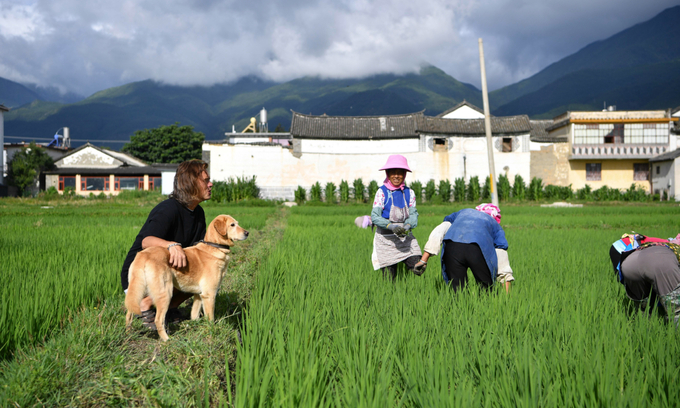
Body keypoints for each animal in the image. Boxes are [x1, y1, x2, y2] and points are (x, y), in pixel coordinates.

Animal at [123, 214, 248, 342]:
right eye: (232, 225)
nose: (247, 233)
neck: (215, 246)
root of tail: (143, 255)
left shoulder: (199, 294)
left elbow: (194, 313)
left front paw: (196, 325)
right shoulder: (209, 294)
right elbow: (210, 318)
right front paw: (212, 333)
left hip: (138, 288)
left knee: (129, 314)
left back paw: (128, 333)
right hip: (165, 292)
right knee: (158, 320)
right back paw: (166, 339)